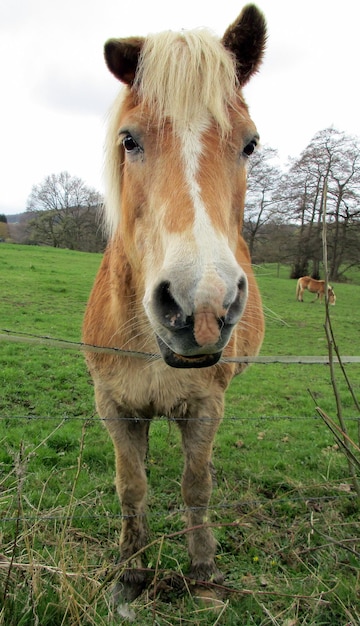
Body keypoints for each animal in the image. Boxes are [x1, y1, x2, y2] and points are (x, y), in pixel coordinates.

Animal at [83, 3, 266, 604]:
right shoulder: (114, 407)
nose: (201, 308)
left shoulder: (205, 408)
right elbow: (132, 485)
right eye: (129, 140)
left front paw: (203, 571)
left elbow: (196, 486)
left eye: (250, 144)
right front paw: (131, 572)